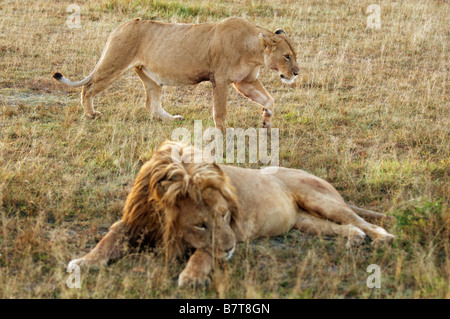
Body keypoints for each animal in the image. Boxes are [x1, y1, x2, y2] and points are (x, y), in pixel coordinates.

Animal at [51, 17, 298, 130]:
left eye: (294, 54)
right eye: (286, 56)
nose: (296, 73)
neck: (253, 50)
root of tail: (121, 26)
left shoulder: (246, 82)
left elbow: (269, 99)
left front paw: (266, 120)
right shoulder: (221, 80)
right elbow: (220, 110)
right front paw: (224, 132)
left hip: (150, 77)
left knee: (151, 105)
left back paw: (172, 119)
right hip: (114, 63)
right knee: (88, 87)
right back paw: (90, 114)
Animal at [67, 141, 394, 288]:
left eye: (225, 216)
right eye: (200, 224)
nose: (231, 248)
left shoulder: (232, 228)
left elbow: (204, 253)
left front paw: (192, 276)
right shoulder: (133, 222)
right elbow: (107, 240)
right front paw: (84, 262)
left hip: (318, 198)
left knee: (360, 220)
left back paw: (382, 238)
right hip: (304, 221)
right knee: (342, 227)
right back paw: (354, 239)